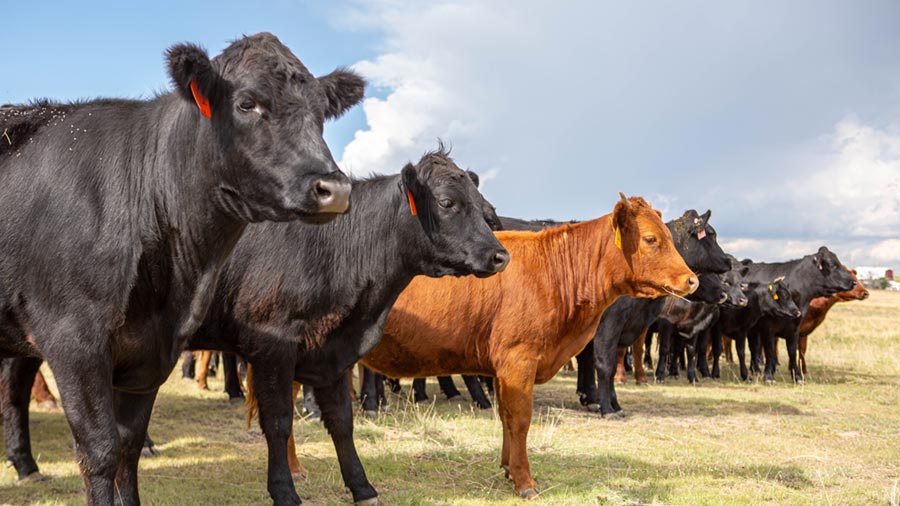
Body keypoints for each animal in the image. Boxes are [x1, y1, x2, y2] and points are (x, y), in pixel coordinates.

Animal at [0, 32, 363, 504]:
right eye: (247, 103)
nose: (334, 189)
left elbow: (129, 446)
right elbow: (100, 451)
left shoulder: (150, 349)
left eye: (321, 112)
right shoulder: (73, 339)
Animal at [187, 148, 509, 505]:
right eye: (447, 202)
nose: (500, 255)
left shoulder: (333, 350)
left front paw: (362, 487)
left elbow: (342, 421)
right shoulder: (272, 346)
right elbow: (278, 421)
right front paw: (284, 490)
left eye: (484, 209)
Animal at [360, 195, 698, 498]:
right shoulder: (518, 359)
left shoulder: (503, 368)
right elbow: (520, 419)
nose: (692, 280)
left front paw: (508, 468)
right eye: (651, 238)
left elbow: (506, 418)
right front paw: (524, 481)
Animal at [573, 209, 730, 416]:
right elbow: (605, 364)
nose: (728, 261)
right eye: (711, 234)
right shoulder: (609, 323)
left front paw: (614, 404)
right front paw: (607, 408)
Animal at [741, 248, 856, 383]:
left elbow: (792, 351)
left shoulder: (795, 326)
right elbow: (770, 351)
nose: (853, 282)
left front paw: (797, 376)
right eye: (833, 264)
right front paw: (769, 376)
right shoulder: (768, 328)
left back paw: (756, 370)